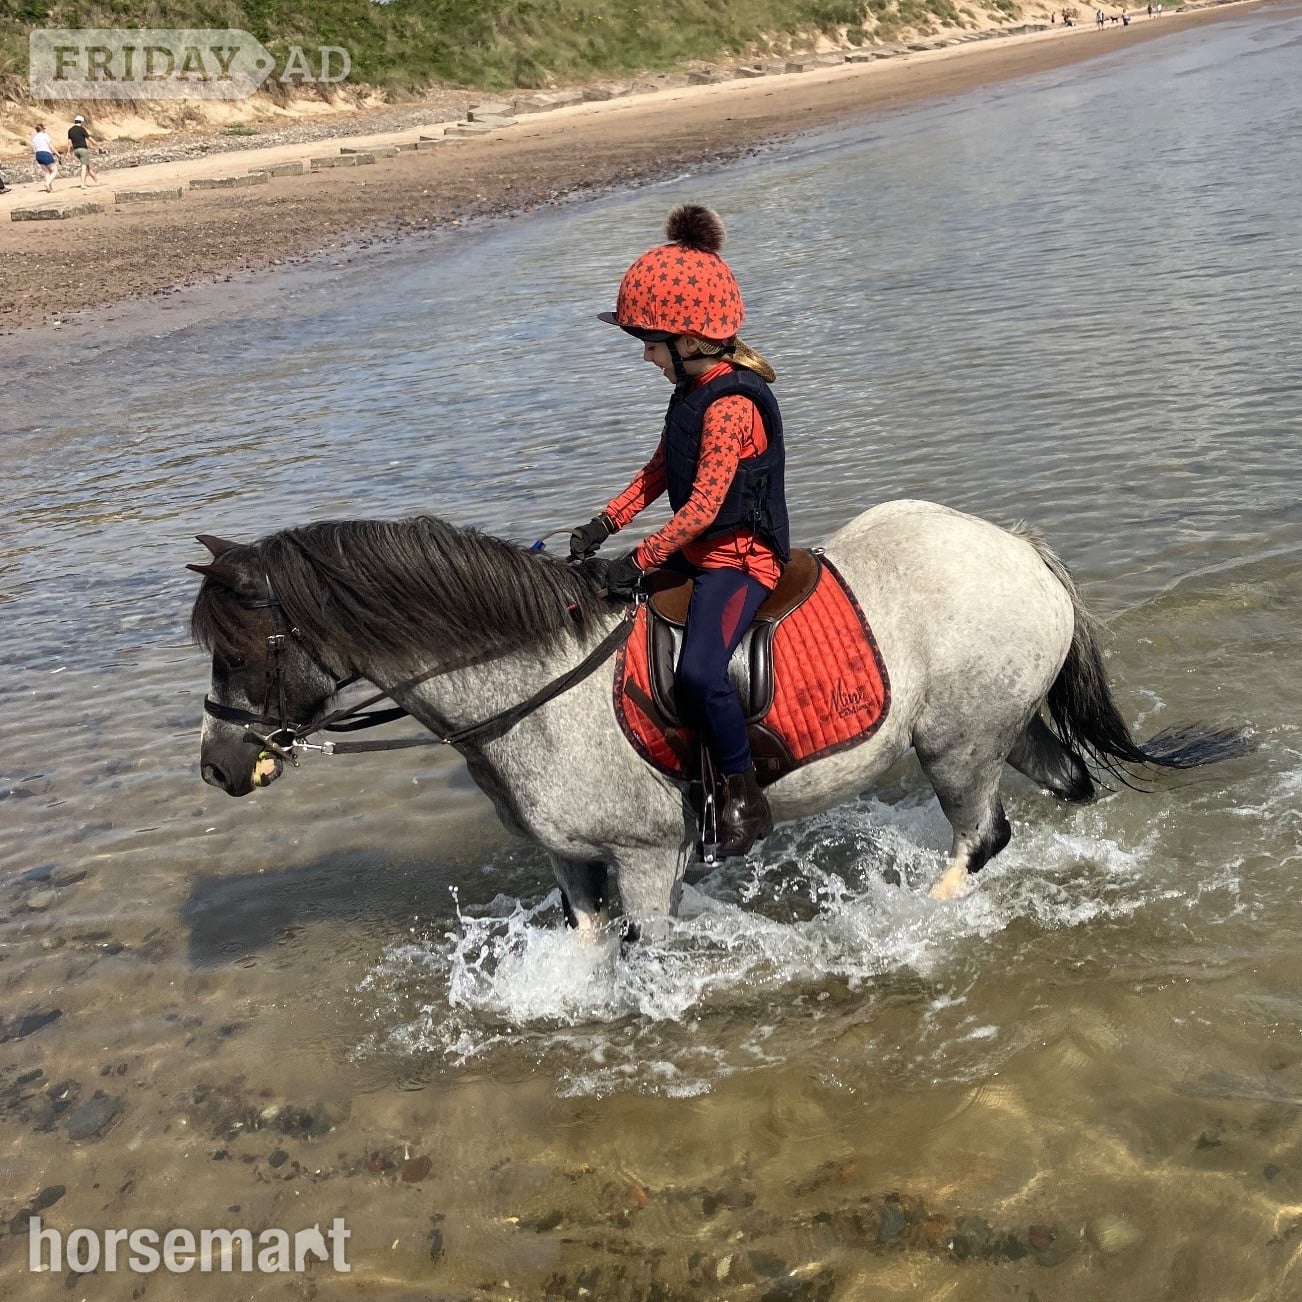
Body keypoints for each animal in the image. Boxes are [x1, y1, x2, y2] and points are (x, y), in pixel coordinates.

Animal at [190, 499, 1245, 936]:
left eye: (244, 650)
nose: (219, 766)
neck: (536, 685)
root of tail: (1018, 550)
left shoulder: (646, 857)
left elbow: (641, 959)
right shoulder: (570, 859)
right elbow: (584, 950)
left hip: (960, 748)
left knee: (981, 839)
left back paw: (915, 919)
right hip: (1004, 729)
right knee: (1064, 791)